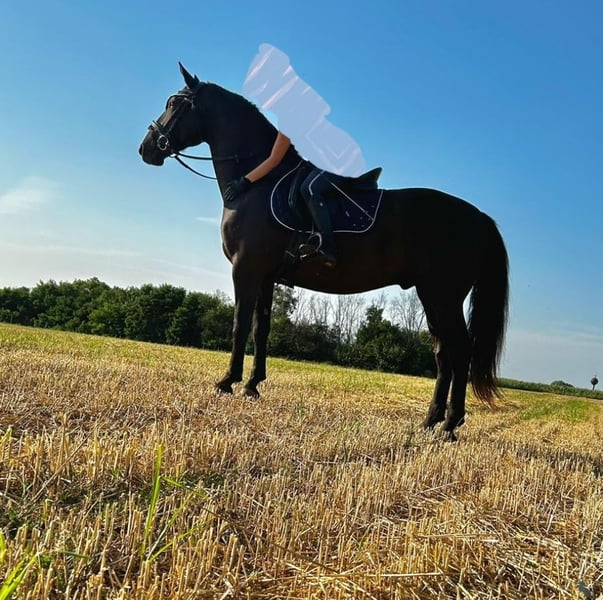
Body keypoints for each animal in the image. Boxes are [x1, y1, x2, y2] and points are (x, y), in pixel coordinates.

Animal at [139, 63, 509, 439]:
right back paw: (430, 421)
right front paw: (253, 386)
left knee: (459, 352)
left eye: (175, 103)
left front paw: (227, 382)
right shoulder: (266, 276)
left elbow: (239, 325)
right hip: (432, 297)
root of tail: (479, 217)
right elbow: (260, 327)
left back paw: (450, 424)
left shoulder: (246, 268)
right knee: (444, 354)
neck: (256, 182)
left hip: (442, 296)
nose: (146, 148)